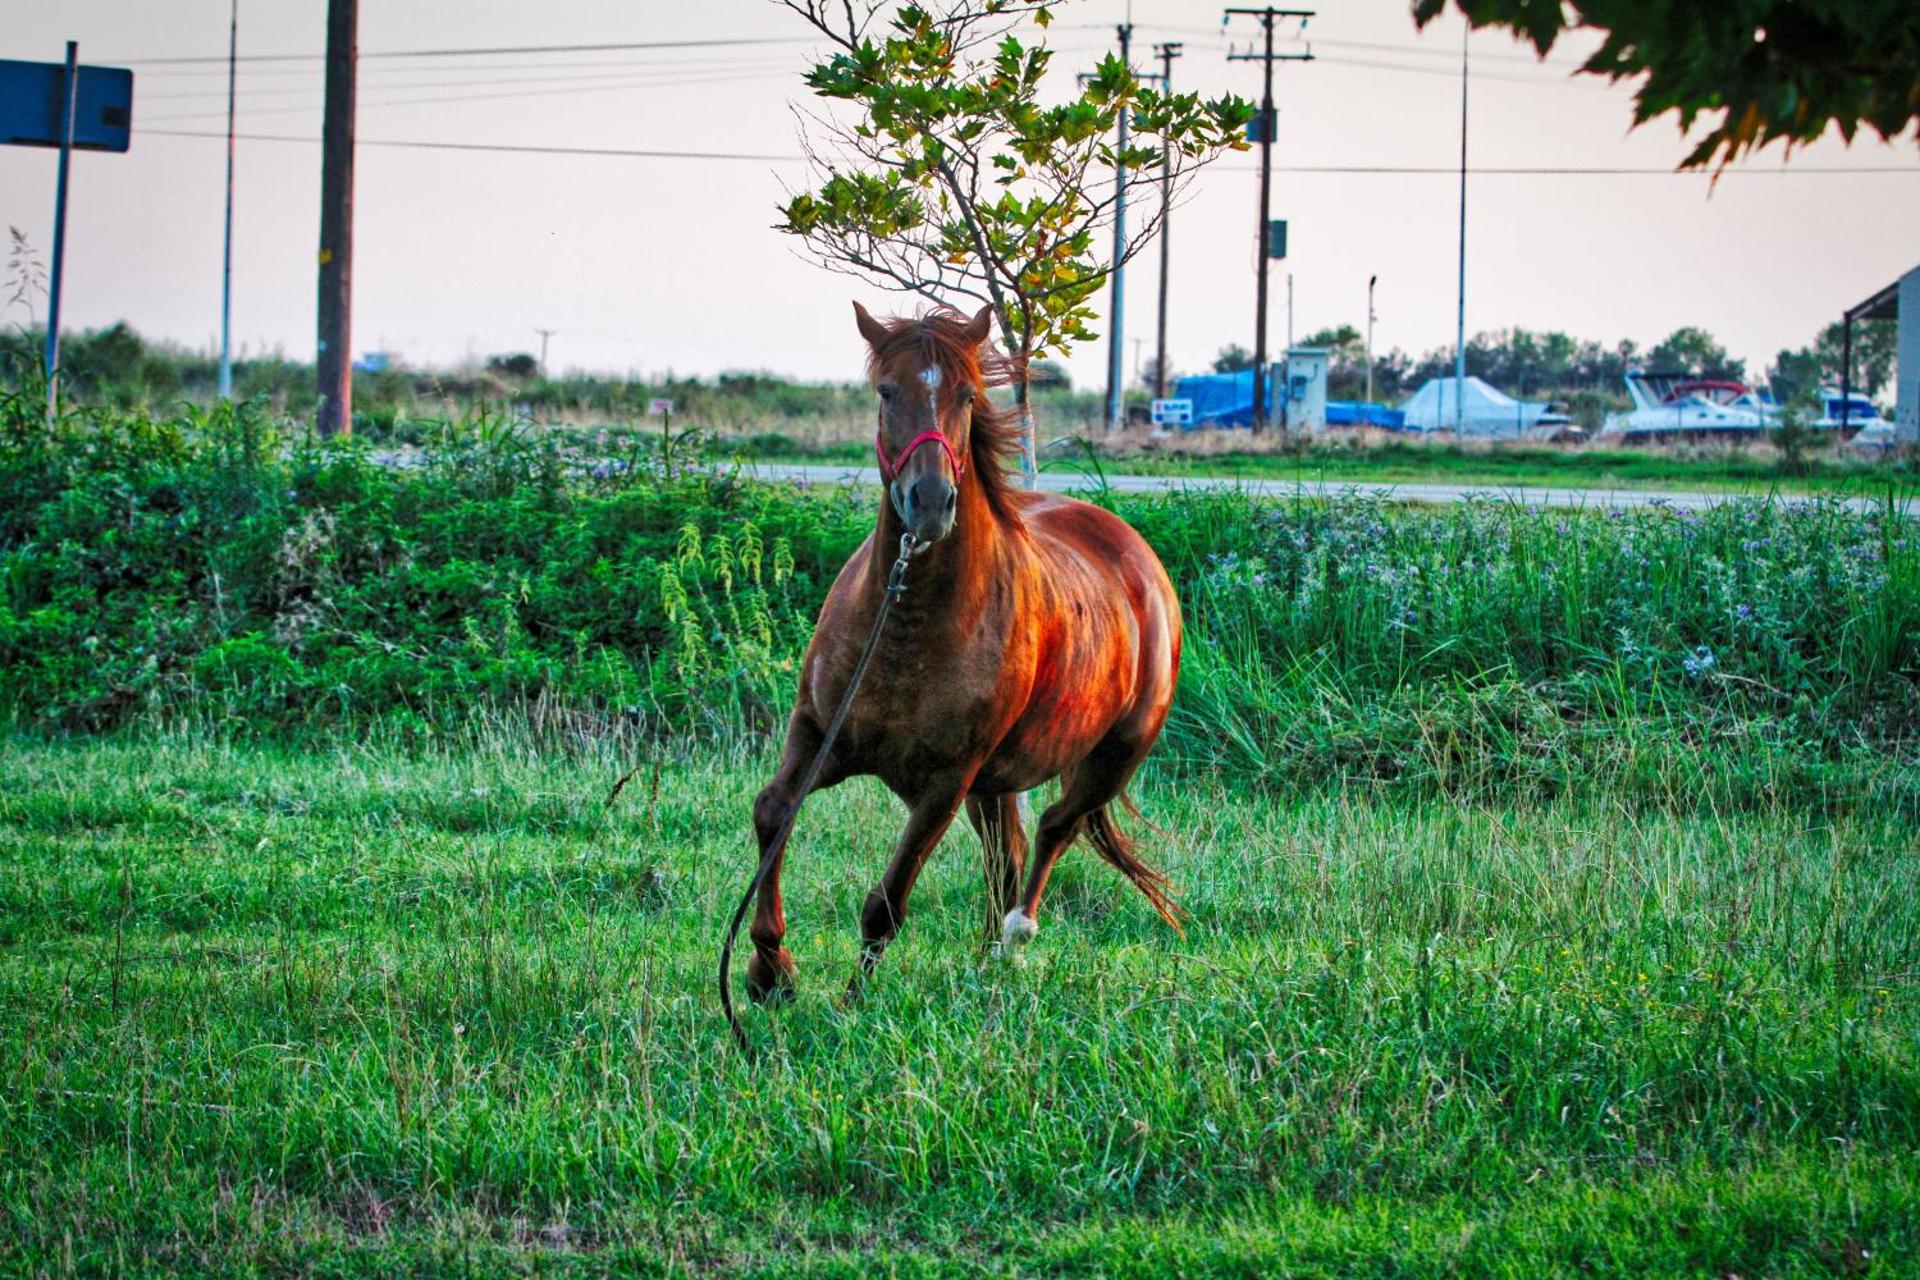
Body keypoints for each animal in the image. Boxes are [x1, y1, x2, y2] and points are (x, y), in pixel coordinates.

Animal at [743, 301, 1184, 1003]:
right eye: (885, 391)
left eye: (967, 395)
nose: (929, 503)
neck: (906, 625)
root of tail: (1134, 554)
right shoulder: (818, 735)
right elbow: (774, 812)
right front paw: (769, 968)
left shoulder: (945, 784)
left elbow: (887, 903)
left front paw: (849, 1004)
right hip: (995, 784)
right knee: (1008, 853)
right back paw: (982, 962)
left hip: (1113, 757)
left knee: (1054, 828)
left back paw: (1013, 940)